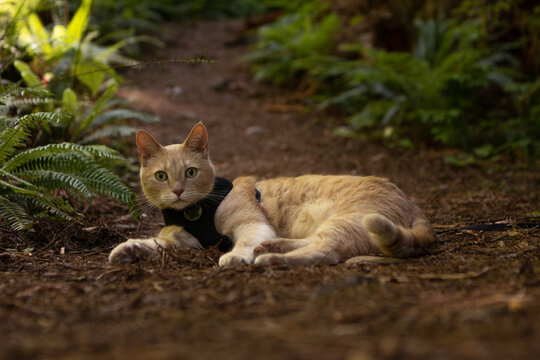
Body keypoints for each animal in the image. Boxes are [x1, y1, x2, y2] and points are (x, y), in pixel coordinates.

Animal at [108, 122, 434, 266]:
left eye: (190, 172)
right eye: (161, 176)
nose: (177, 191)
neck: (195, 212)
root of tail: (412, 203)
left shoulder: (253, 224)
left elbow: (245, 240)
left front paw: (236, 255)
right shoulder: (186, 241)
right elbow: (156, 242)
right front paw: (130, 248)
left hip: (348, 220)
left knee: (326, 251)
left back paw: (270, 258)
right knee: (316, 244)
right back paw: (274, 248)